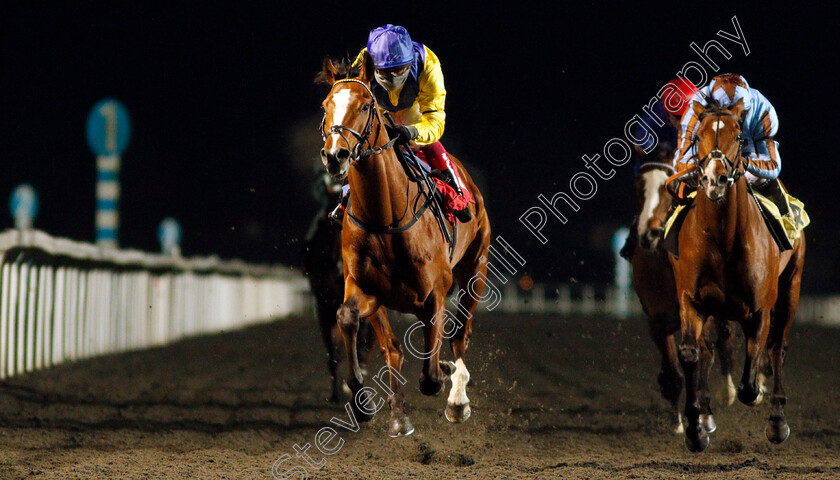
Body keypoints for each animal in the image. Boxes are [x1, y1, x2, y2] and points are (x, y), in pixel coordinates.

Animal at [298, 171, 370, 404]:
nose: (340, 268)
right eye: (331, 231)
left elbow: (361, 341)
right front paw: (336, 394)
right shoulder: (323, 306)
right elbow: (333, 353)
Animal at [668, 99, 800, 452]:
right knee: (709, 350)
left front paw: (760, 399)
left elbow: (750, 381)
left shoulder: (760, 308)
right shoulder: (691, 299)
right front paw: (696, 429)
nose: (715, 179)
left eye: (739, 136)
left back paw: (777, 421)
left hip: (790, 287)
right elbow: (692, 353)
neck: (724, 238)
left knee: (778, 347)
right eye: (697, 136)